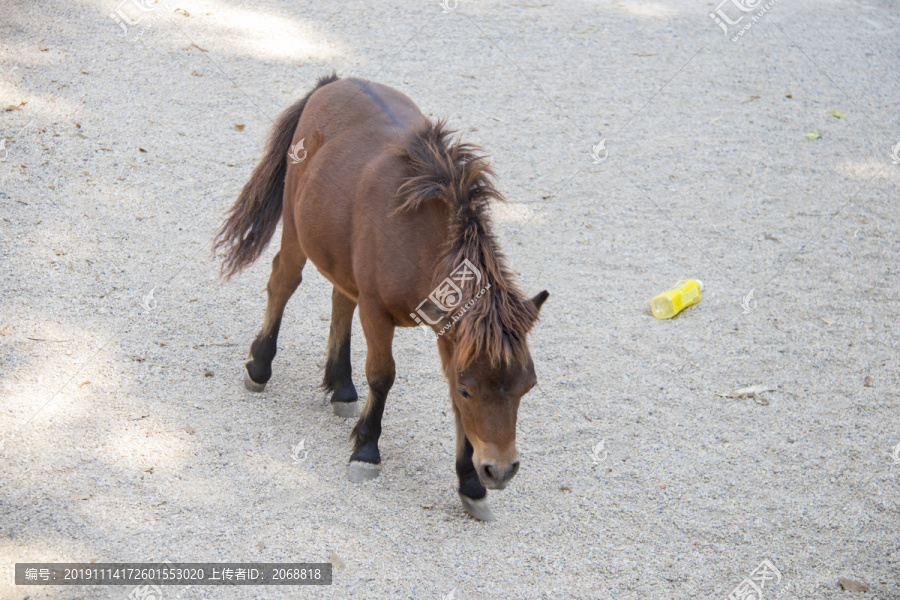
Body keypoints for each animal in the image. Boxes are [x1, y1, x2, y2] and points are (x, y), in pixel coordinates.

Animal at [214, 74, 544, 520]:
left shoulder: (450, 334)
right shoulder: (377, 310)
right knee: (283, 281)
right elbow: (383, 375)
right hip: (297, 227)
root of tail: (336, 82)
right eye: (469, 390)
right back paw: (260, 366)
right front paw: (366, 450)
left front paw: (470, 485)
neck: (420, 236)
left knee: (340, 298)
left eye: (527, 387)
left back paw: (342, 386)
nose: (500, 470)